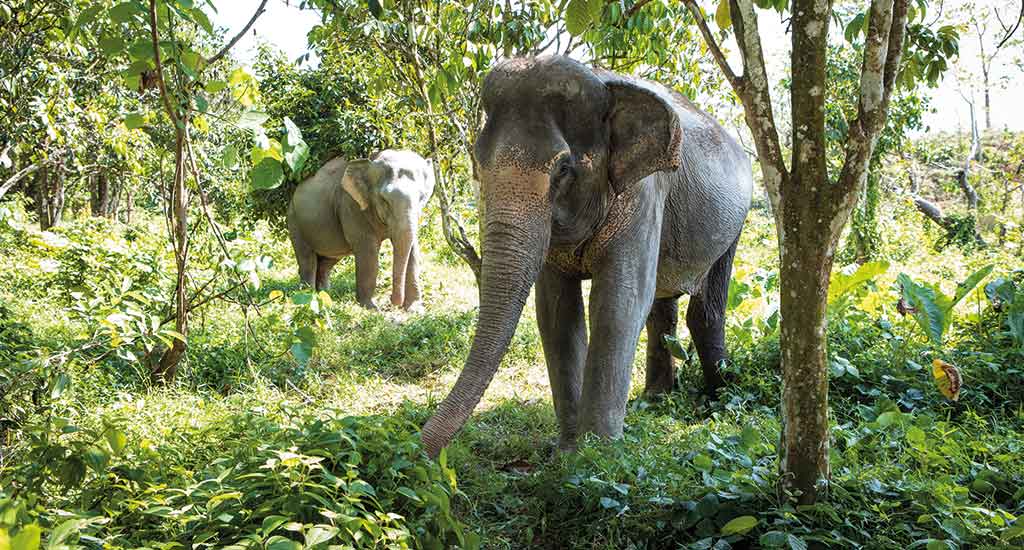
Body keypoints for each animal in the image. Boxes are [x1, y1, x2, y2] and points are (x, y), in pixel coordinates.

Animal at [286, 149, 435, 310]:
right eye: (384, 200)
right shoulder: (351, 205)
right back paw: (308, 297)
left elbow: (413, 251)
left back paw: (324, 296)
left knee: (327, 261)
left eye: (422, 197)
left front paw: (415, 309)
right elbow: (368, 251)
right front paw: (371, 308)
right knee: (307, 260)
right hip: (294, 220)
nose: (393, 302)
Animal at [421, 56, 752, 457]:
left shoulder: (643, 193)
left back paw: (719, 400)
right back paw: (654, 401)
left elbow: (618, 302)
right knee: (661, 307)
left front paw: (597, 454)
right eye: (479, 162)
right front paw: (567, 449)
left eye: (563, 169)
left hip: (735, 222)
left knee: (705, 309)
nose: (419, 451)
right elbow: (557, 312)